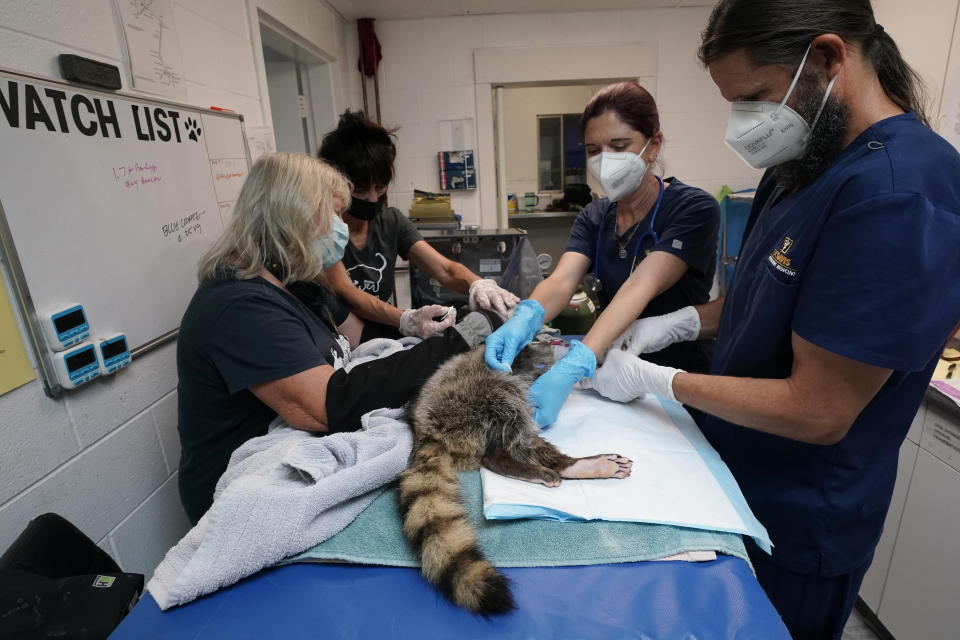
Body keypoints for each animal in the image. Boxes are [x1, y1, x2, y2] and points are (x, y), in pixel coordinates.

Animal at [400, 342, 632, 616]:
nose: (566, 345)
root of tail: (424, 432)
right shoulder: (513, 364)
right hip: (469, 397)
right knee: (503, 425)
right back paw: (518, 461)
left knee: (529, 440)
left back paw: (570, 465)